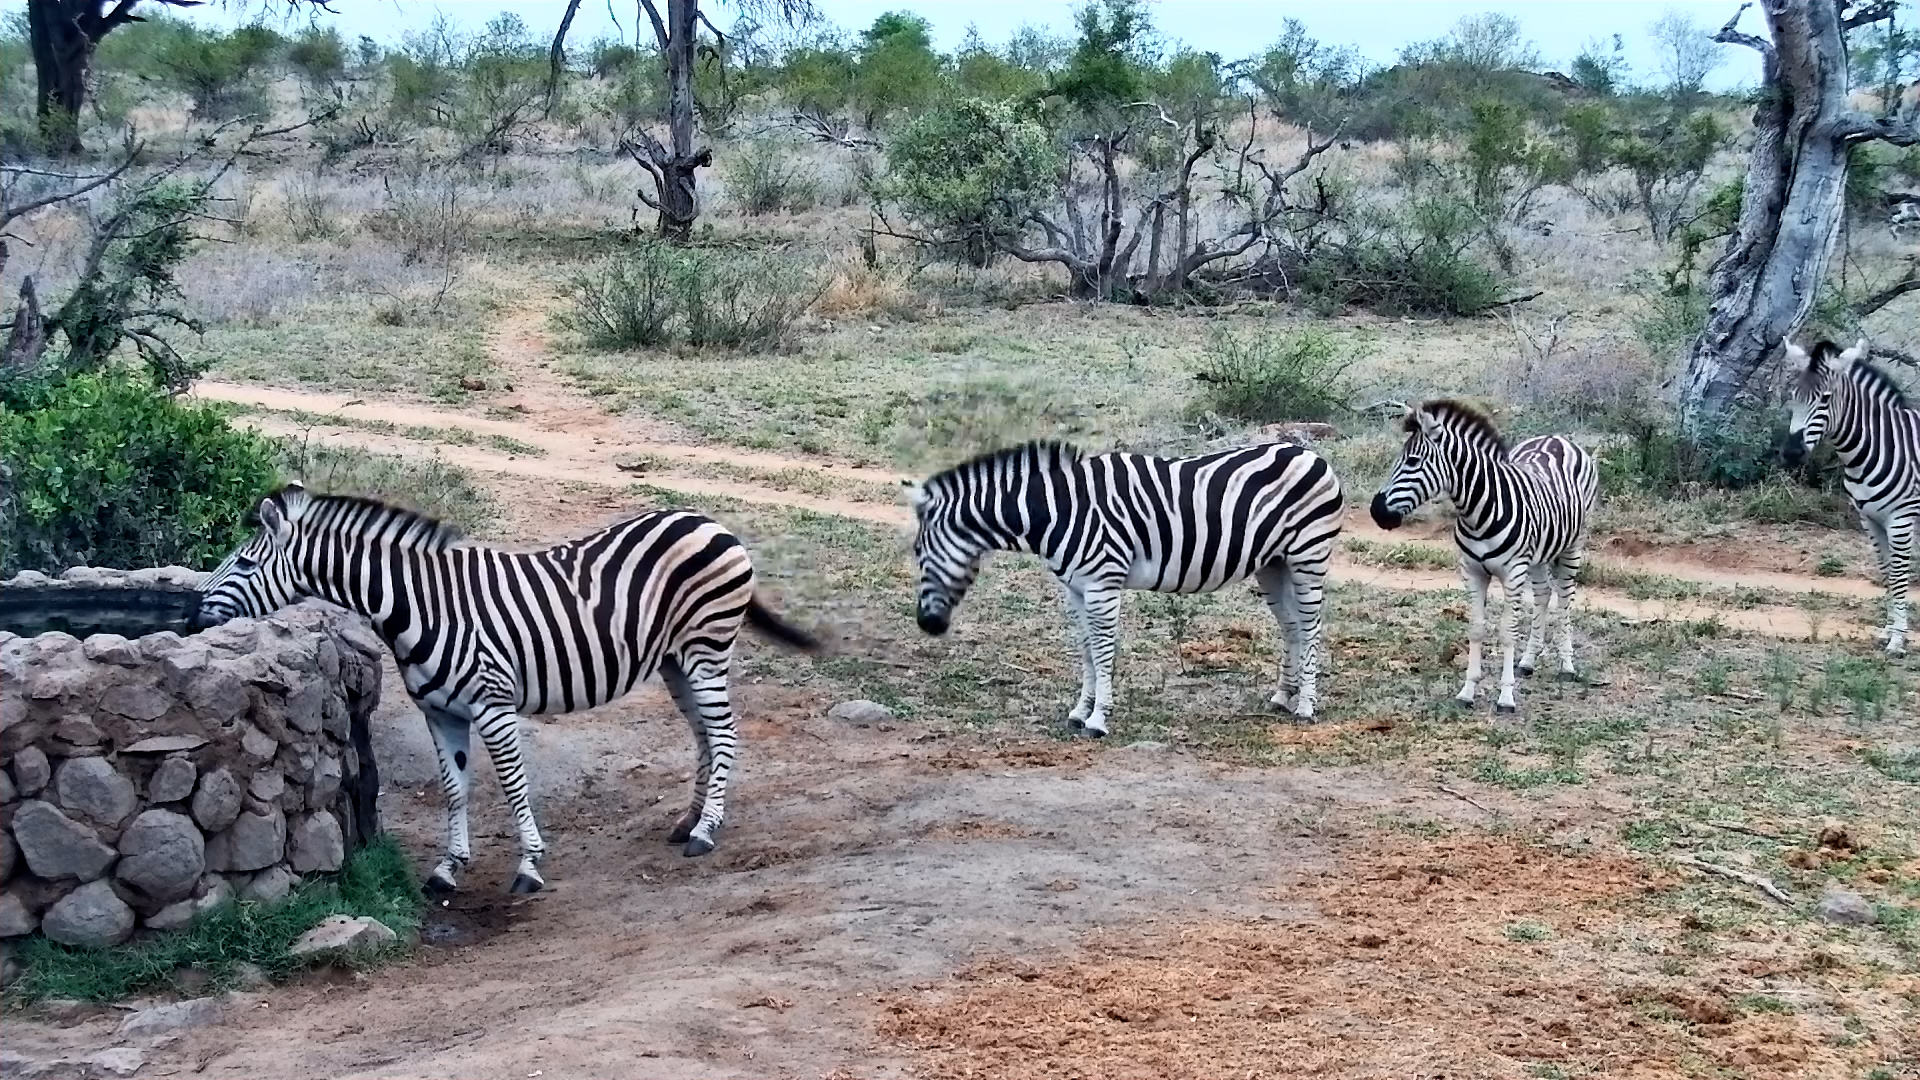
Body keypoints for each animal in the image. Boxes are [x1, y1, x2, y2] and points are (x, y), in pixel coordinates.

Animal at [196, 483, 819, 894]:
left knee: (724, 734)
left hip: (706, 649)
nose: (196, 612)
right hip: (674, 661)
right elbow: (455, 790)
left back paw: (706, 832)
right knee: (704, 736)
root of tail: (711, 522)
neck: (417, 607)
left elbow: (515, 786)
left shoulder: (492, 705)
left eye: (245, 564)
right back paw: (689, 821)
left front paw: (529, 866)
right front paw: (448, 868)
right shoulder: (439, 713)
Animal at [905, 440, 1345, 733]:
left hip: (1308, 555)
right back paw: (1283, 697)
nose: (927, 626)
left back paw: (1306, 706)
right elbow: (1084, 650)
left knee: (1311, 628)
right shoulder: (1075, 589)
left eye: (918, 551)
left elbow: (1102, 652)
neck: (1055, 510)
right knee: (1291, 628)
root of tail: (1310, 453)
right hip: (1273, 564)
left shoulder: (1102, 583)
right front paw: (1080, 711)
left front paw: (1099, 719)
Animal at [1368, 401, 1597, 713]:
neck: (1478, 512)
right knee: (1542, 595)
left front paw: (1506, 697)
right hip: (1539, 554)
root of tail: (1556, 437)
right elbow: (1476, 629)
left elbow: (1507, 631)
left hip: (1573, 544)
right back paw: (1528, 661)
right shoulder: (1472, 571)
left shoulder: (1513, 573)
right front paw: (1467, 691)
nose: (1376, 511)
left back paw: (1566, 665)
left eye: (1413, 462)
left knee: (1564, 600)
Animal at [1782, 336, 1919, 654]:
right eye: (1793, 397)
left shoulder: (1901, 518)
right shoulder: (1870, 518)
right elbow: (1886, 570)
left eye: (1825, 399)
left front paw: (1898, 640)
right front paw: (1887, 630)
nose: (1791, 453)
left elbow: (1898, 573)